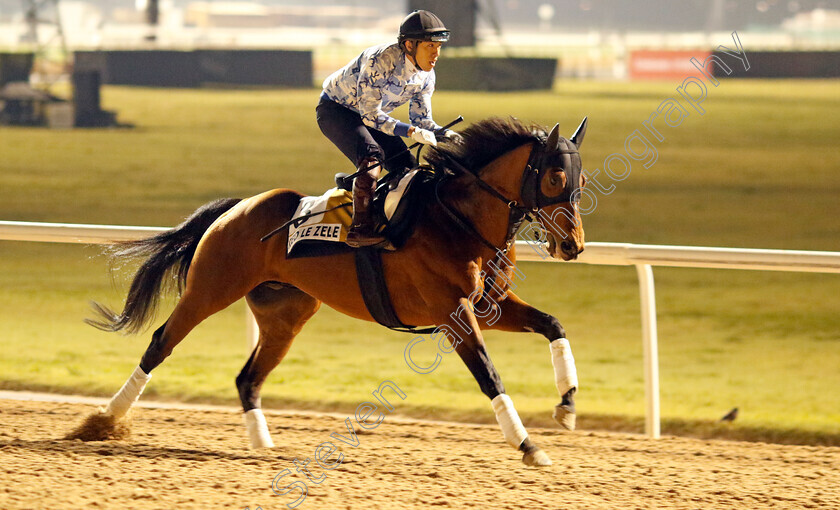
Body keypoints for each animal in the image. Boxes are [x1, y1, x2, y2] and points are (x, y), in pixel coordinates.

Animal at [77, 115, 592, 466]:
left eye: (581, 180)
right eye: (554, 177)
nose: (572, 245)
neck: (458, 218)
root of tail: (237, 207)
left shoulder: (489, 306)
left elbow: (554, 325)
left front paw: (566, 406)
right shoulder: (452, 312)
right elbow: (489, 374)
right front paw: (527, 444)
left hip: (286, 313)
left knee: (248, 377)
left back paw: (262, 443)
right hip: (210, 289)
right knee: (160, 343)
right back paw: (103, 420)